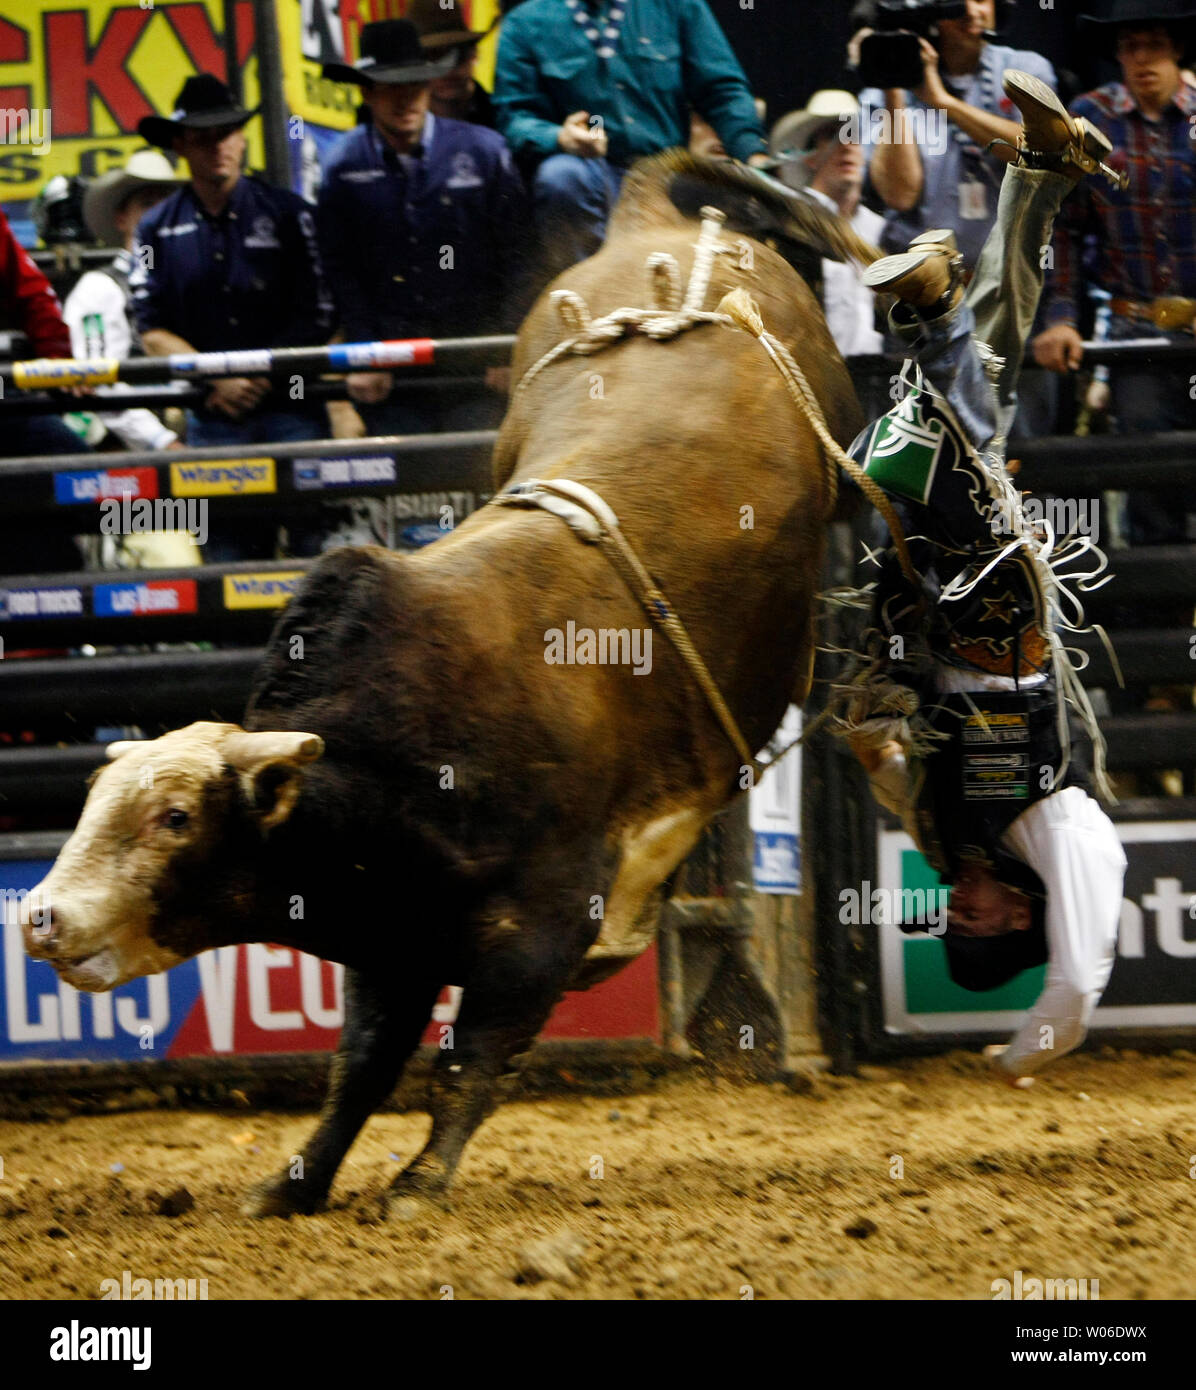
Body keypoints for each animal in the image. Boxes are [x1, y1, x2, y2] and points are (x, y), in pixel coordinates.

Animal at [21, 154, 878, 1217]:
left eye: (176, 817)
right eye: (93, 804)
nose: (39, 916)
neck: (413, 750)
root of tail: (648, 222)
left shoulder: (537, 927)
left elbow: (472, 1055)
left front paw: (419, 1183)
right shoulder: (392, 938)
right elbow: (362, 1063)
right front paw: (294, 1183)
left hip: (840, 423)